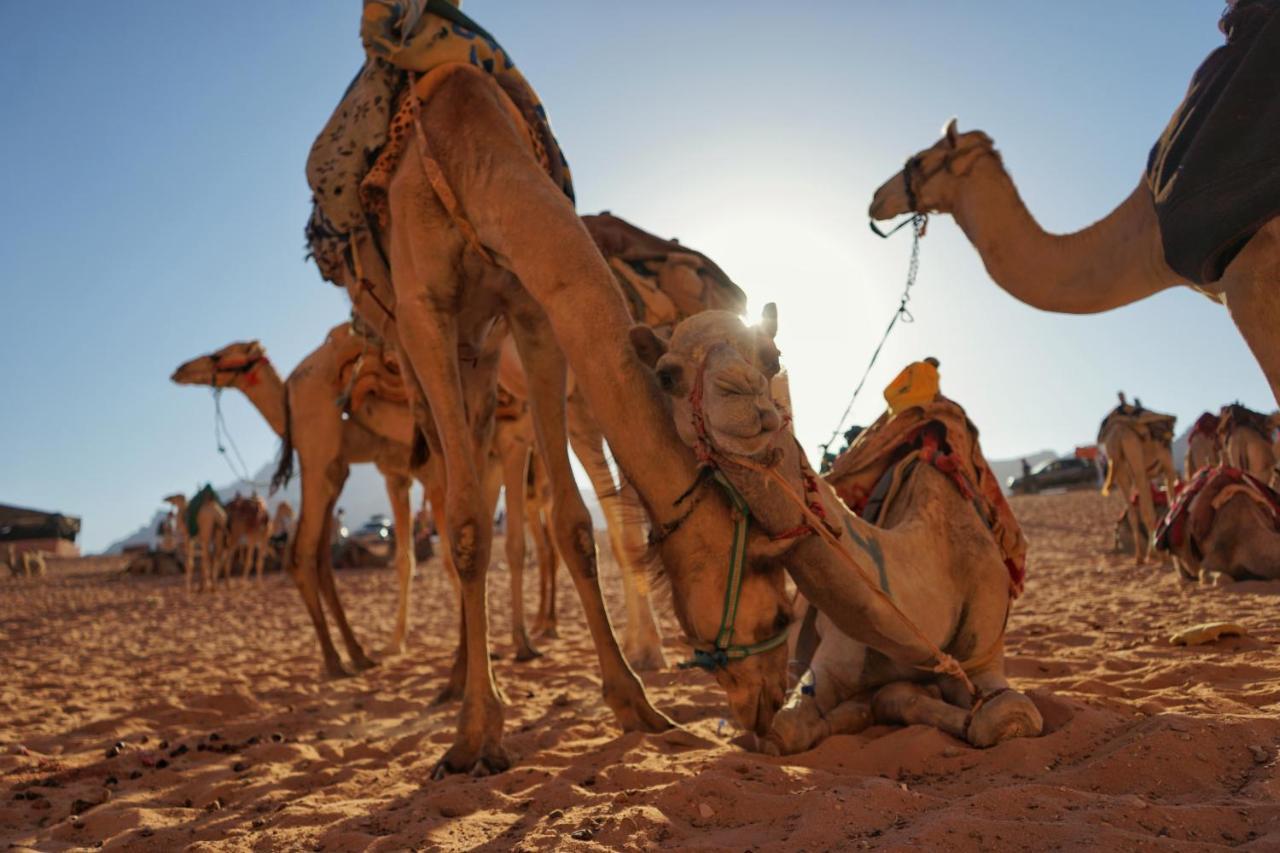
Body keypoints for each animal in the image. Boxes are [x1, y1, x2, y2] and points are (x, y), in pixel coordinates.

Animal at [629, 307, 1039, 753]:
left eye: (772, 357)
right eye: (667, 376)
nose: (742, 396)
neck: (938, 558)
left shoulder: (985, 656)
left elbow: (1006, 715)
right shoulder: (831, 659)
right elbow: (783, 730)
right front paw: (861, 708)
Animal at [1100, 394, 1177, 563]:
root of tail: (1117, 431)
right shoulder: (1167, 465)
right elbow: (1171, 500)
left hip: (1120, 470)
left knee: (1133, 512)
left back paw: (1140, 556)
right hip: (1136, 460)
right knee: (1147, 511)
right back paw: (1155, 554)